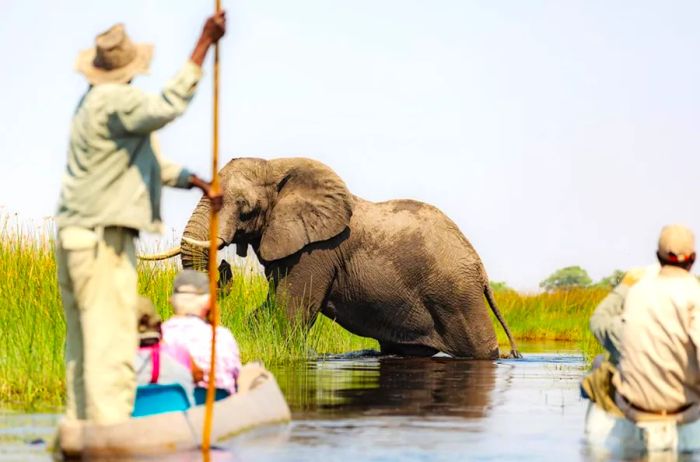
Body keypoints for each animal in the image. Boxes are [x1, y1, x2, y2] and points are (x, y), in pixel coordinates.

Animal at [144, 157, 520, 360]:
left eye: (244, 207)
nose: (223, 266)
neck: (277, 165)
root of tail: (480, 268)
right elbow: (269, 309)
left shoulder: (316, 252)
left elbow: (290, 313)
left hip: (456, 295)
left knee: (480, 349)